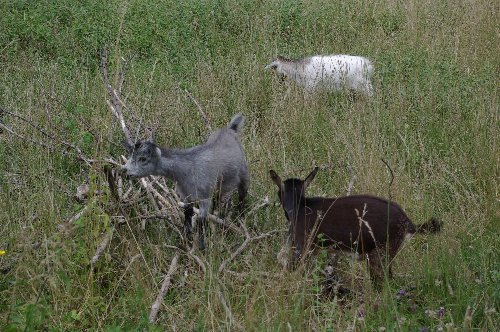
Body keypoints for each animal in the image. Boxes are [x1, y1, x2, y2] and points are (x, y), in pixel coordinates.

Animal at [122, 113, 249, 250]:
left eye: (143, 159)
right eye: (130, 156)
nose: (124, 171)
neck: (187, 170)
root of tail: (231, 129)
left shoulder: (204, 197)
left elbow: (201, 222)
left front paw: (202, 248)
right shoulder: (186, 196)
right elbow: (187, 216)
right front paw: (187, 241)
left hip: (244, 172)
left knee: (242, 194)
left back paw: (241, 217)